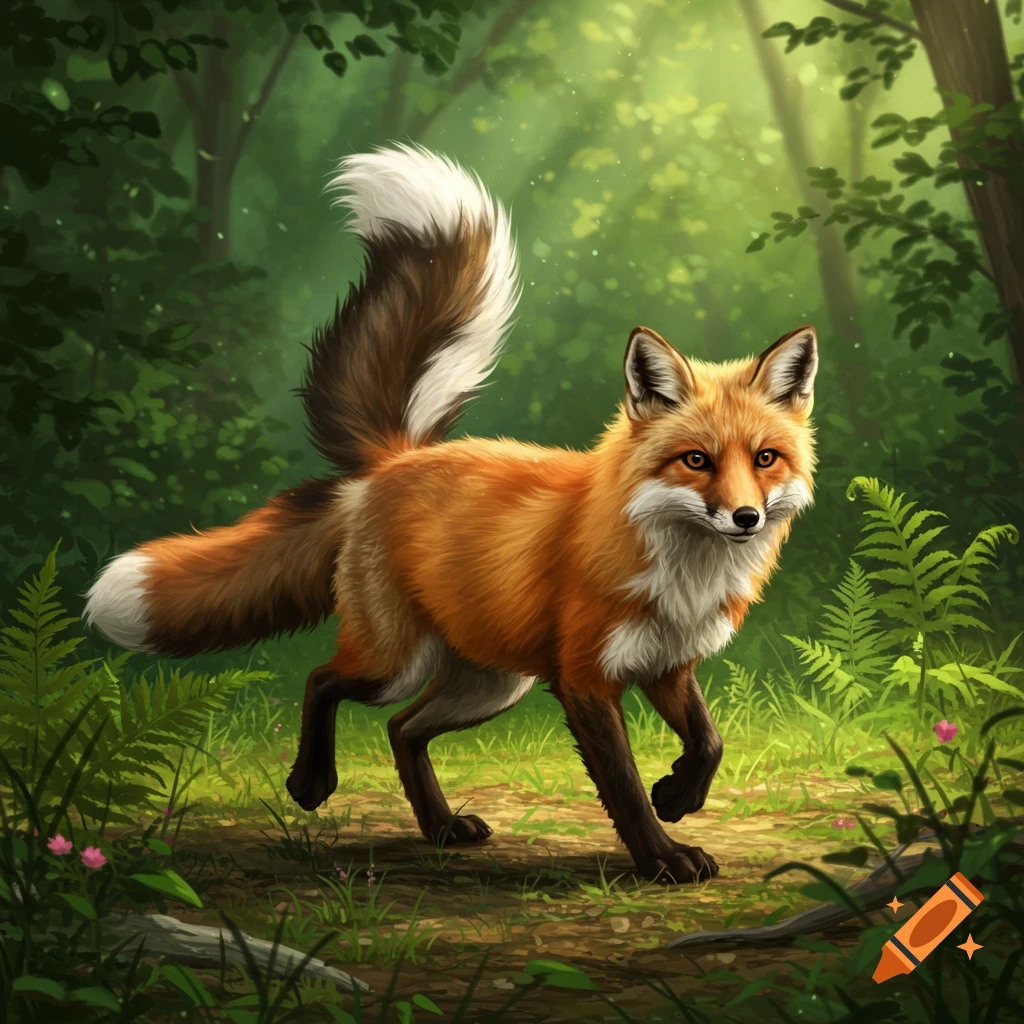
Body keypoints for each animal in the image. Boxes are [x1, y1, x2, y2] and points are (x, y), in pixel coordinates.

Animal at [83, 144, 818, 885]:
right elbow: (623, 786)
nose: (746, 518)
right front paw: (661, 855)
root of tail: (395, 460)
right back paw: (311, 783)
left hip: (493, 683)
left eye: (765, 458)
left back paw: (438, 827)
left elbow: (709, 741)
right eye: (696, 460)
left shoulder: (668, 664)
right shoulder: (585, 681)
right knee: (326, 681)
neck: (681, 571)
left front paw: (679, 795)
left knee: (402, 729)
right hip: (400, 663)